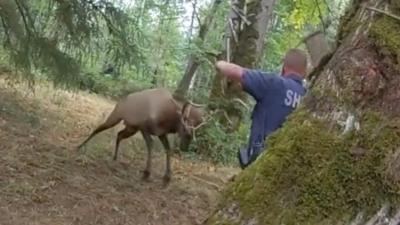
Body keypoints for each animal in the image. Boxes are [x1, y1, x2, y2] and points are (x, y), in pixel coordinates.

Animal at [76, 88, 205, 186]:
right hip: (116, 117)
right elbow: (150, 145)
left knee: (119, 135)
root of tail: (121, 100)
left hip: (131, 128)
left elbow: (168, 150)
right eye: (184, 127)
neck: (168, 120)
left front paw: (167, 178)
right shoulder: (144, 128)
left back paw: (115, 157)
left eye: (196, 127)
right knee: (99, 128)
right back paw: (80, 146)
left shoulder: (161, 133)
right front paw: (146, 173)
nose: (185, 146)